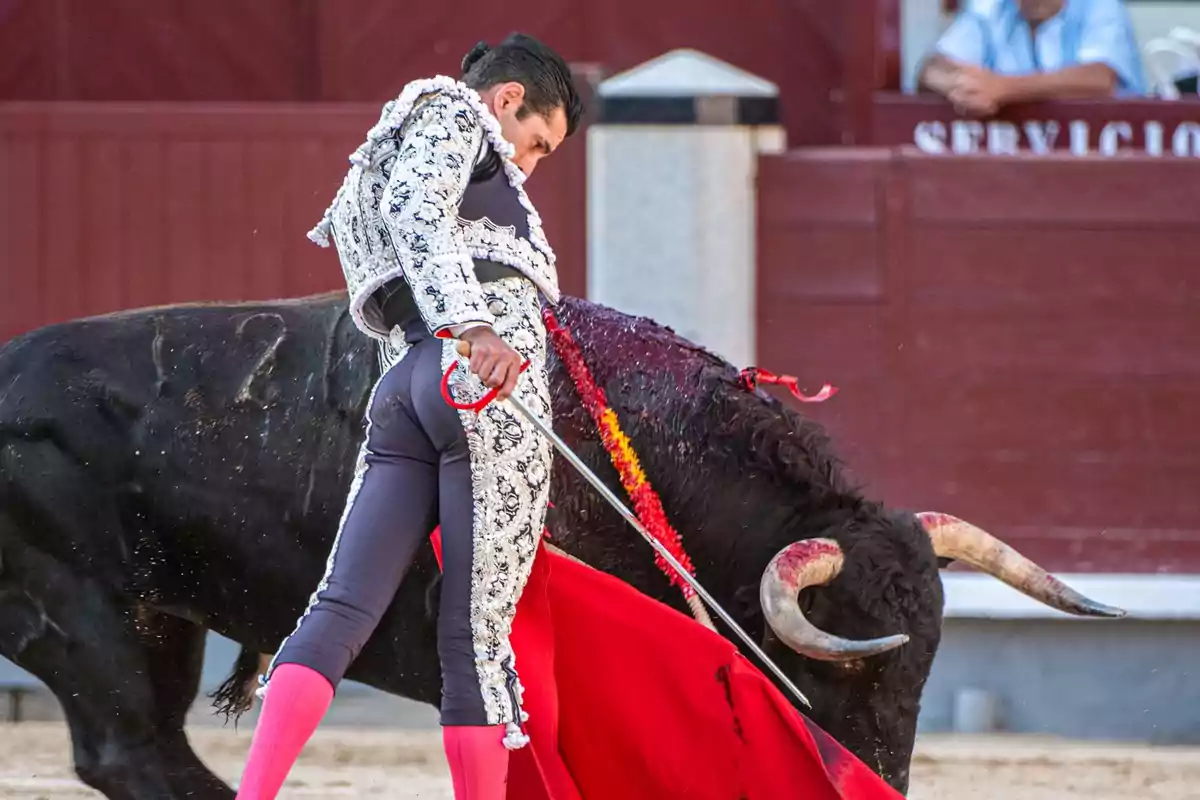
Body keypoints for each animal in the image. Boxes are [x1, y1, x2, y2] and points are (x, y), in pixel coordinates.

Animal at [0, 291, 1123, 796]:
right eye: (846, 660)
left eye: (928, 661)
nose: (879, 781)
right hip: (80, 619)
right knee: (133, 748)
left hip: (159, 617)